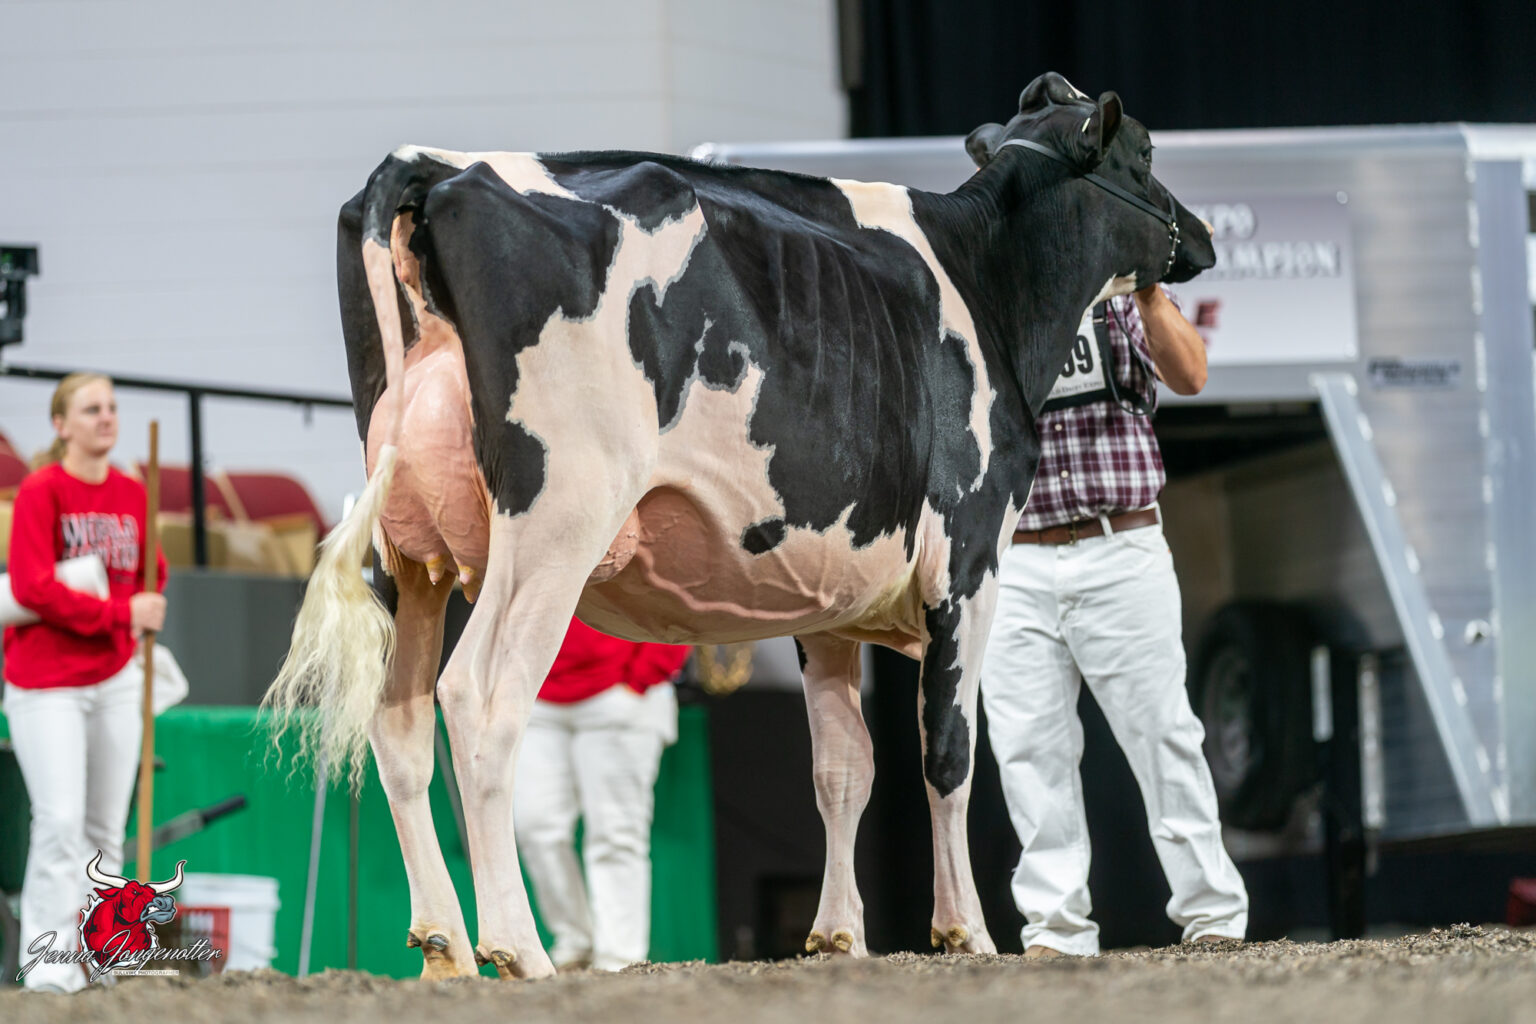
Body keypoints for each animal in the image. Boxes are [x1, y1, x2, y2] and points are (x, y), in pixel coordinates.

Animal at [265, 71, 1214, 979]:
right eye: (1145, 151)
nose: (1201, 238)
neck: (988, 283)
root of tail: (437, 166)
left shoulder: (827, 592)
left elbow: (843, 766)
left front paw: (838, 935)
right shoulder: (970, 558)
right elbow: (947, 751)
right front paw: (966, 932)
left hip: (407, 552)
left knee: (398, 721)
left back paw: (444, 946)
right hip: (556, 518)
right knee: (479, 698)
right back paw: (518, 949)